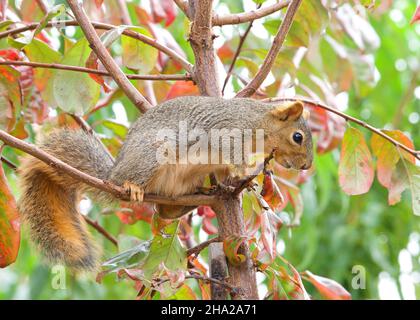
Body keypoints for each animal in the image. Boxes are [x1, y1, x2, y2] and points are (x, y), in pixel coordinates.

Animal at [17, 95, 312, 272]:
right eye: (297, 137)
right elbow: (233, 160)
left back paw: (201, 193)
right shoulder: (227, 133)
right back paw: (133, 187)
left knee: (165, 211)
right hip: (153, 153)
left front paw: (245, 181)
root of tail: (112, 175)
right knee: (135, 185)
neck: (257, 122)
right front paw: (245, 176)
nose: (307, 166)